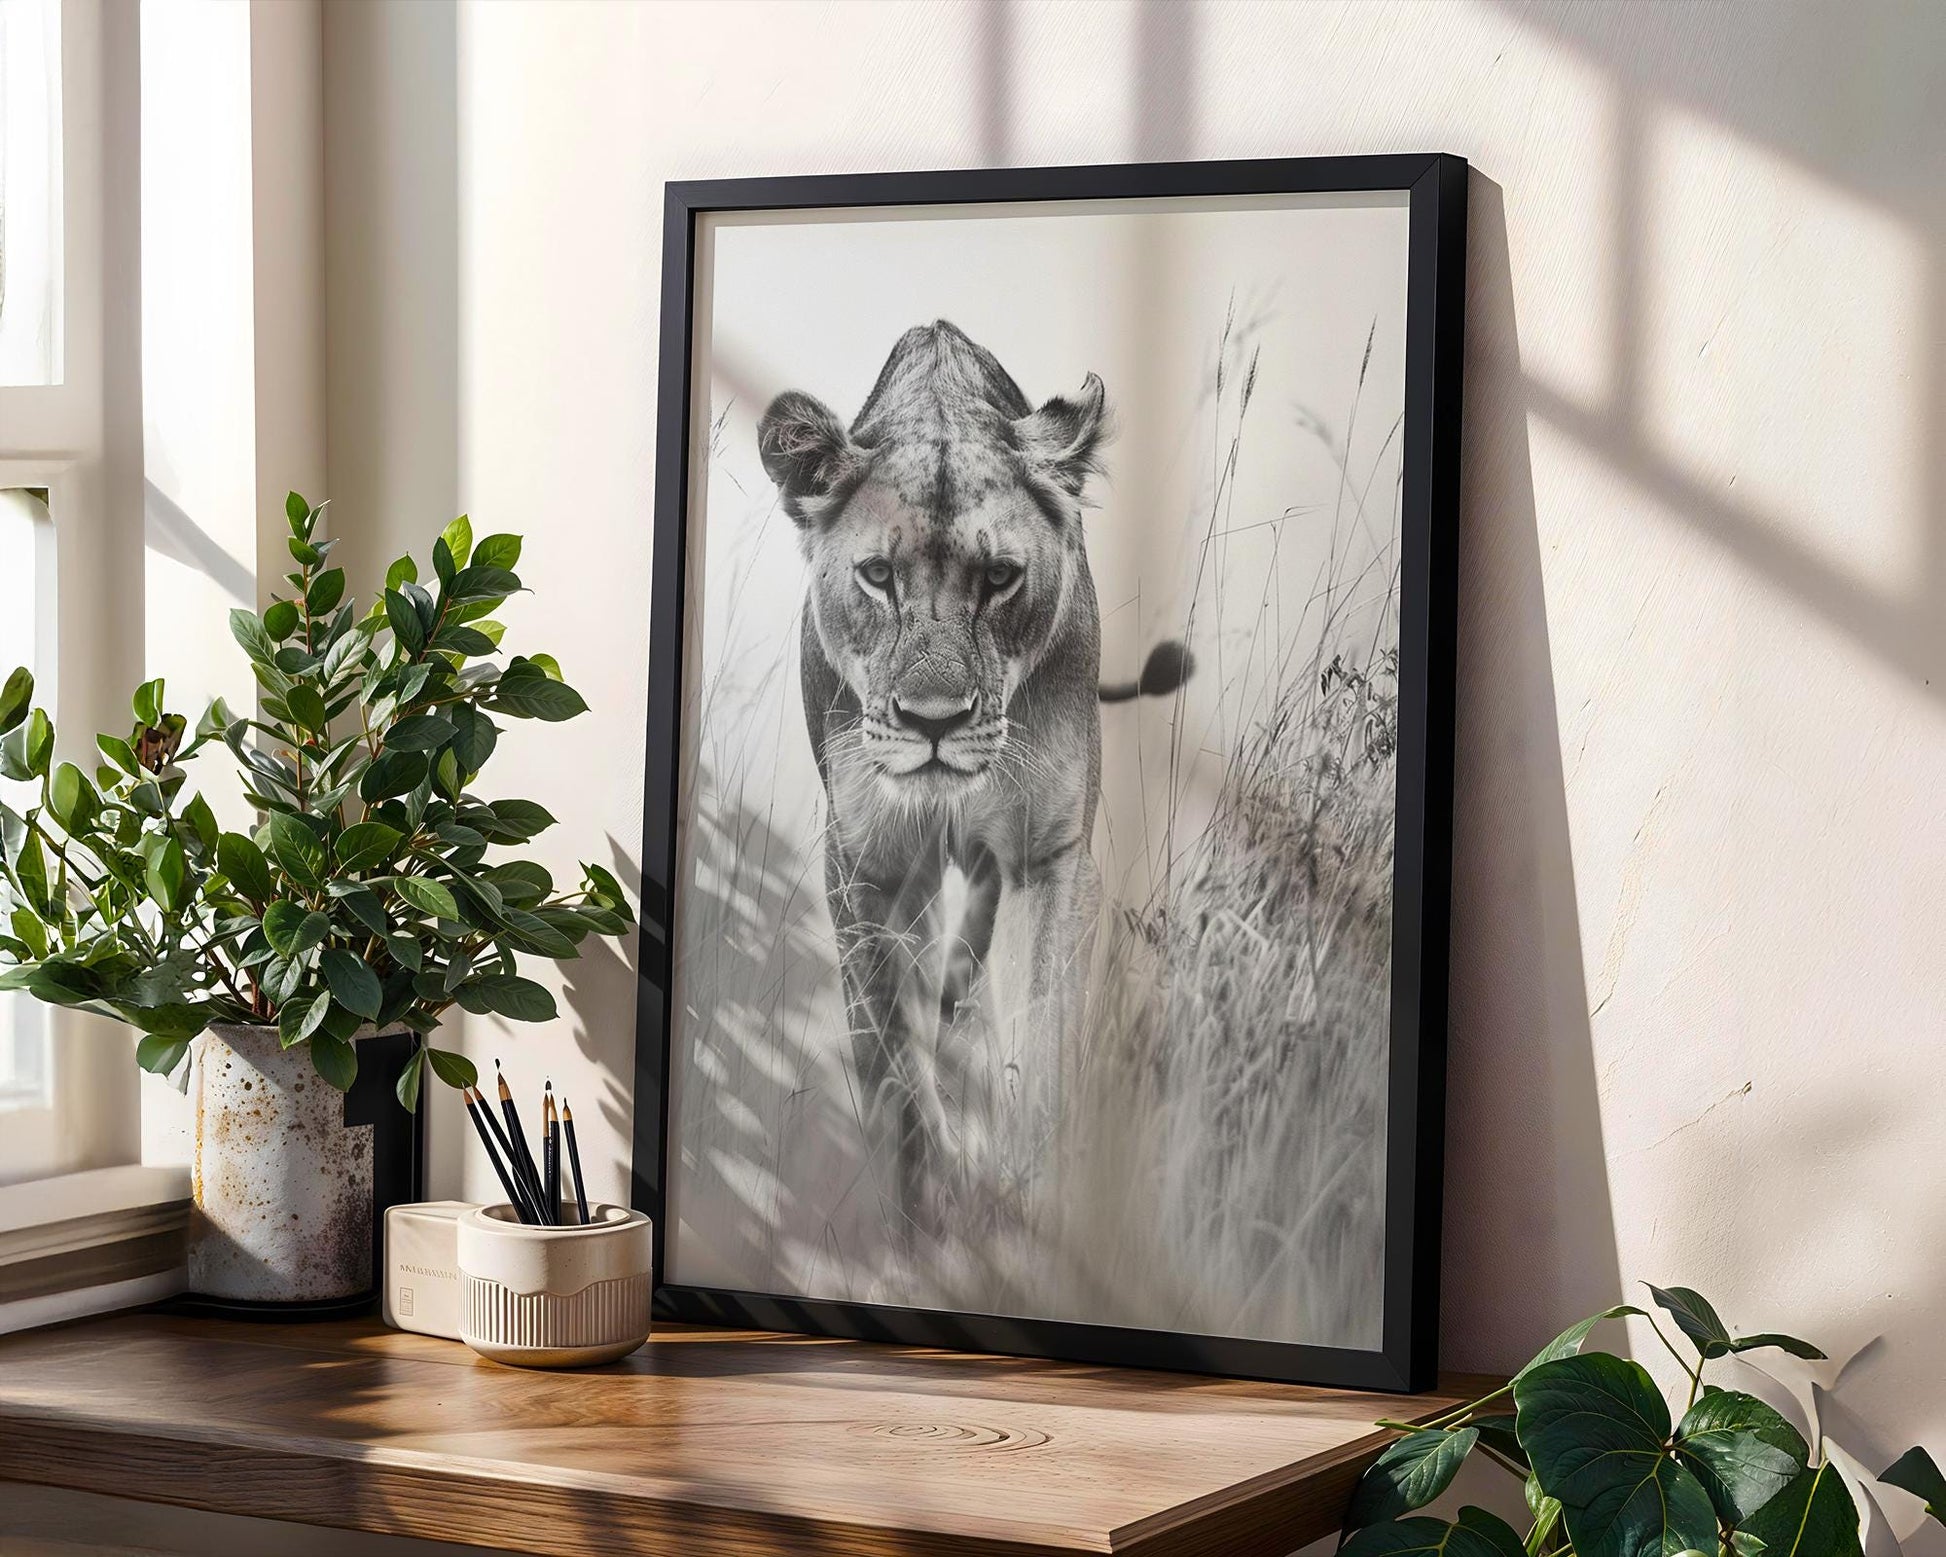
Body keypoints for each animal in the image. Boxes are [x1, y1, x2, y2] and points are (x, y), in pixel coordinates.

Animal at [757, 320, 1190, 1237]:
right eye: (878, 576)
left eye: (998, 579)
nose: (933, 721)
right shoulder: (865, 863)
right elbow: (889, 1053)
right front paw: (927, 1196)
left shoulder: (1048, 857)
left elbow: (1042, 1039)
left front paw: (1027, 1199)